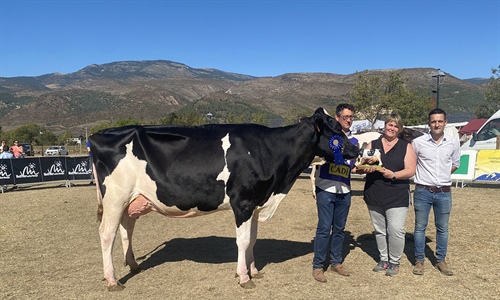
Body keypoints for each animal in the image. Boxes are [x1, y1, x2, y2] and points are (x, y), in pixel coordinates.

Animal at [89, 107, 360, 290]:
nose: (357, 149)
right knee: (107, 233)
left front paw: (254, 270)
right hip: (115, 197)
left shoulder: (255, 203)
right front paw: (243, 277)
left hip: (131, 199)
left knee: (126, 227)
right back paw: (112, 280)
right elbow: (242, 241)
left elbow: (252, 240)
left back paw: (133, 264)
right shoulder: (243, 203)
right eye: (337, 130)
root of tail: (98, 135)